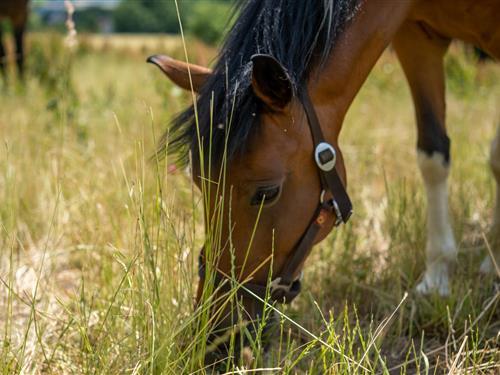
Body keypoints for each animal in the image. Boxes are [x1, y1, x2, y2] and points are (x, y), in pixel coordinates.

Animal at [148, 0, 500, 362]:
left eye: (267, 192)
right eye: (199, 181)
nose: (216, 340)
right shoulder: (415, 35)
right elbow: (433, 153)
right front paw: (437, 276)